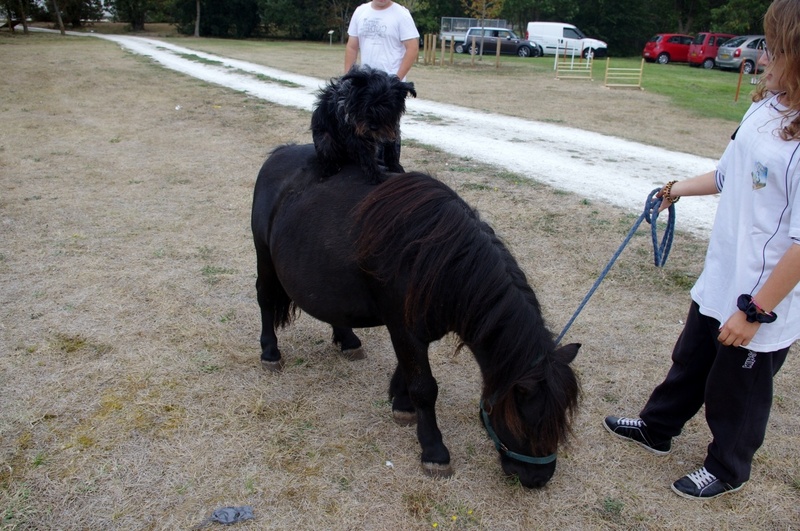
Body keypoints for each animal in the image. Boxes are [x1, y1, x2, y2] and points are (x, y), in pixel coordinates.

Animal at [252, 143, 580, 488]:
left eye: (561, 419)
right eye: (525, 420)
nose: (538, 478)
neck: (442, 261)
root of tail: (283, 151)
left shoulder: (413, 330)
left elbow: (408, 371)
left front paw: (401, 403)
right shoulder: (404, 328)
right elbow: (425, 388)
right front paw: (434, 450)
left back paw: (347, 339)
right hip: (264, 255)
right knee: (264, 299)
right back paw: (270, 352)